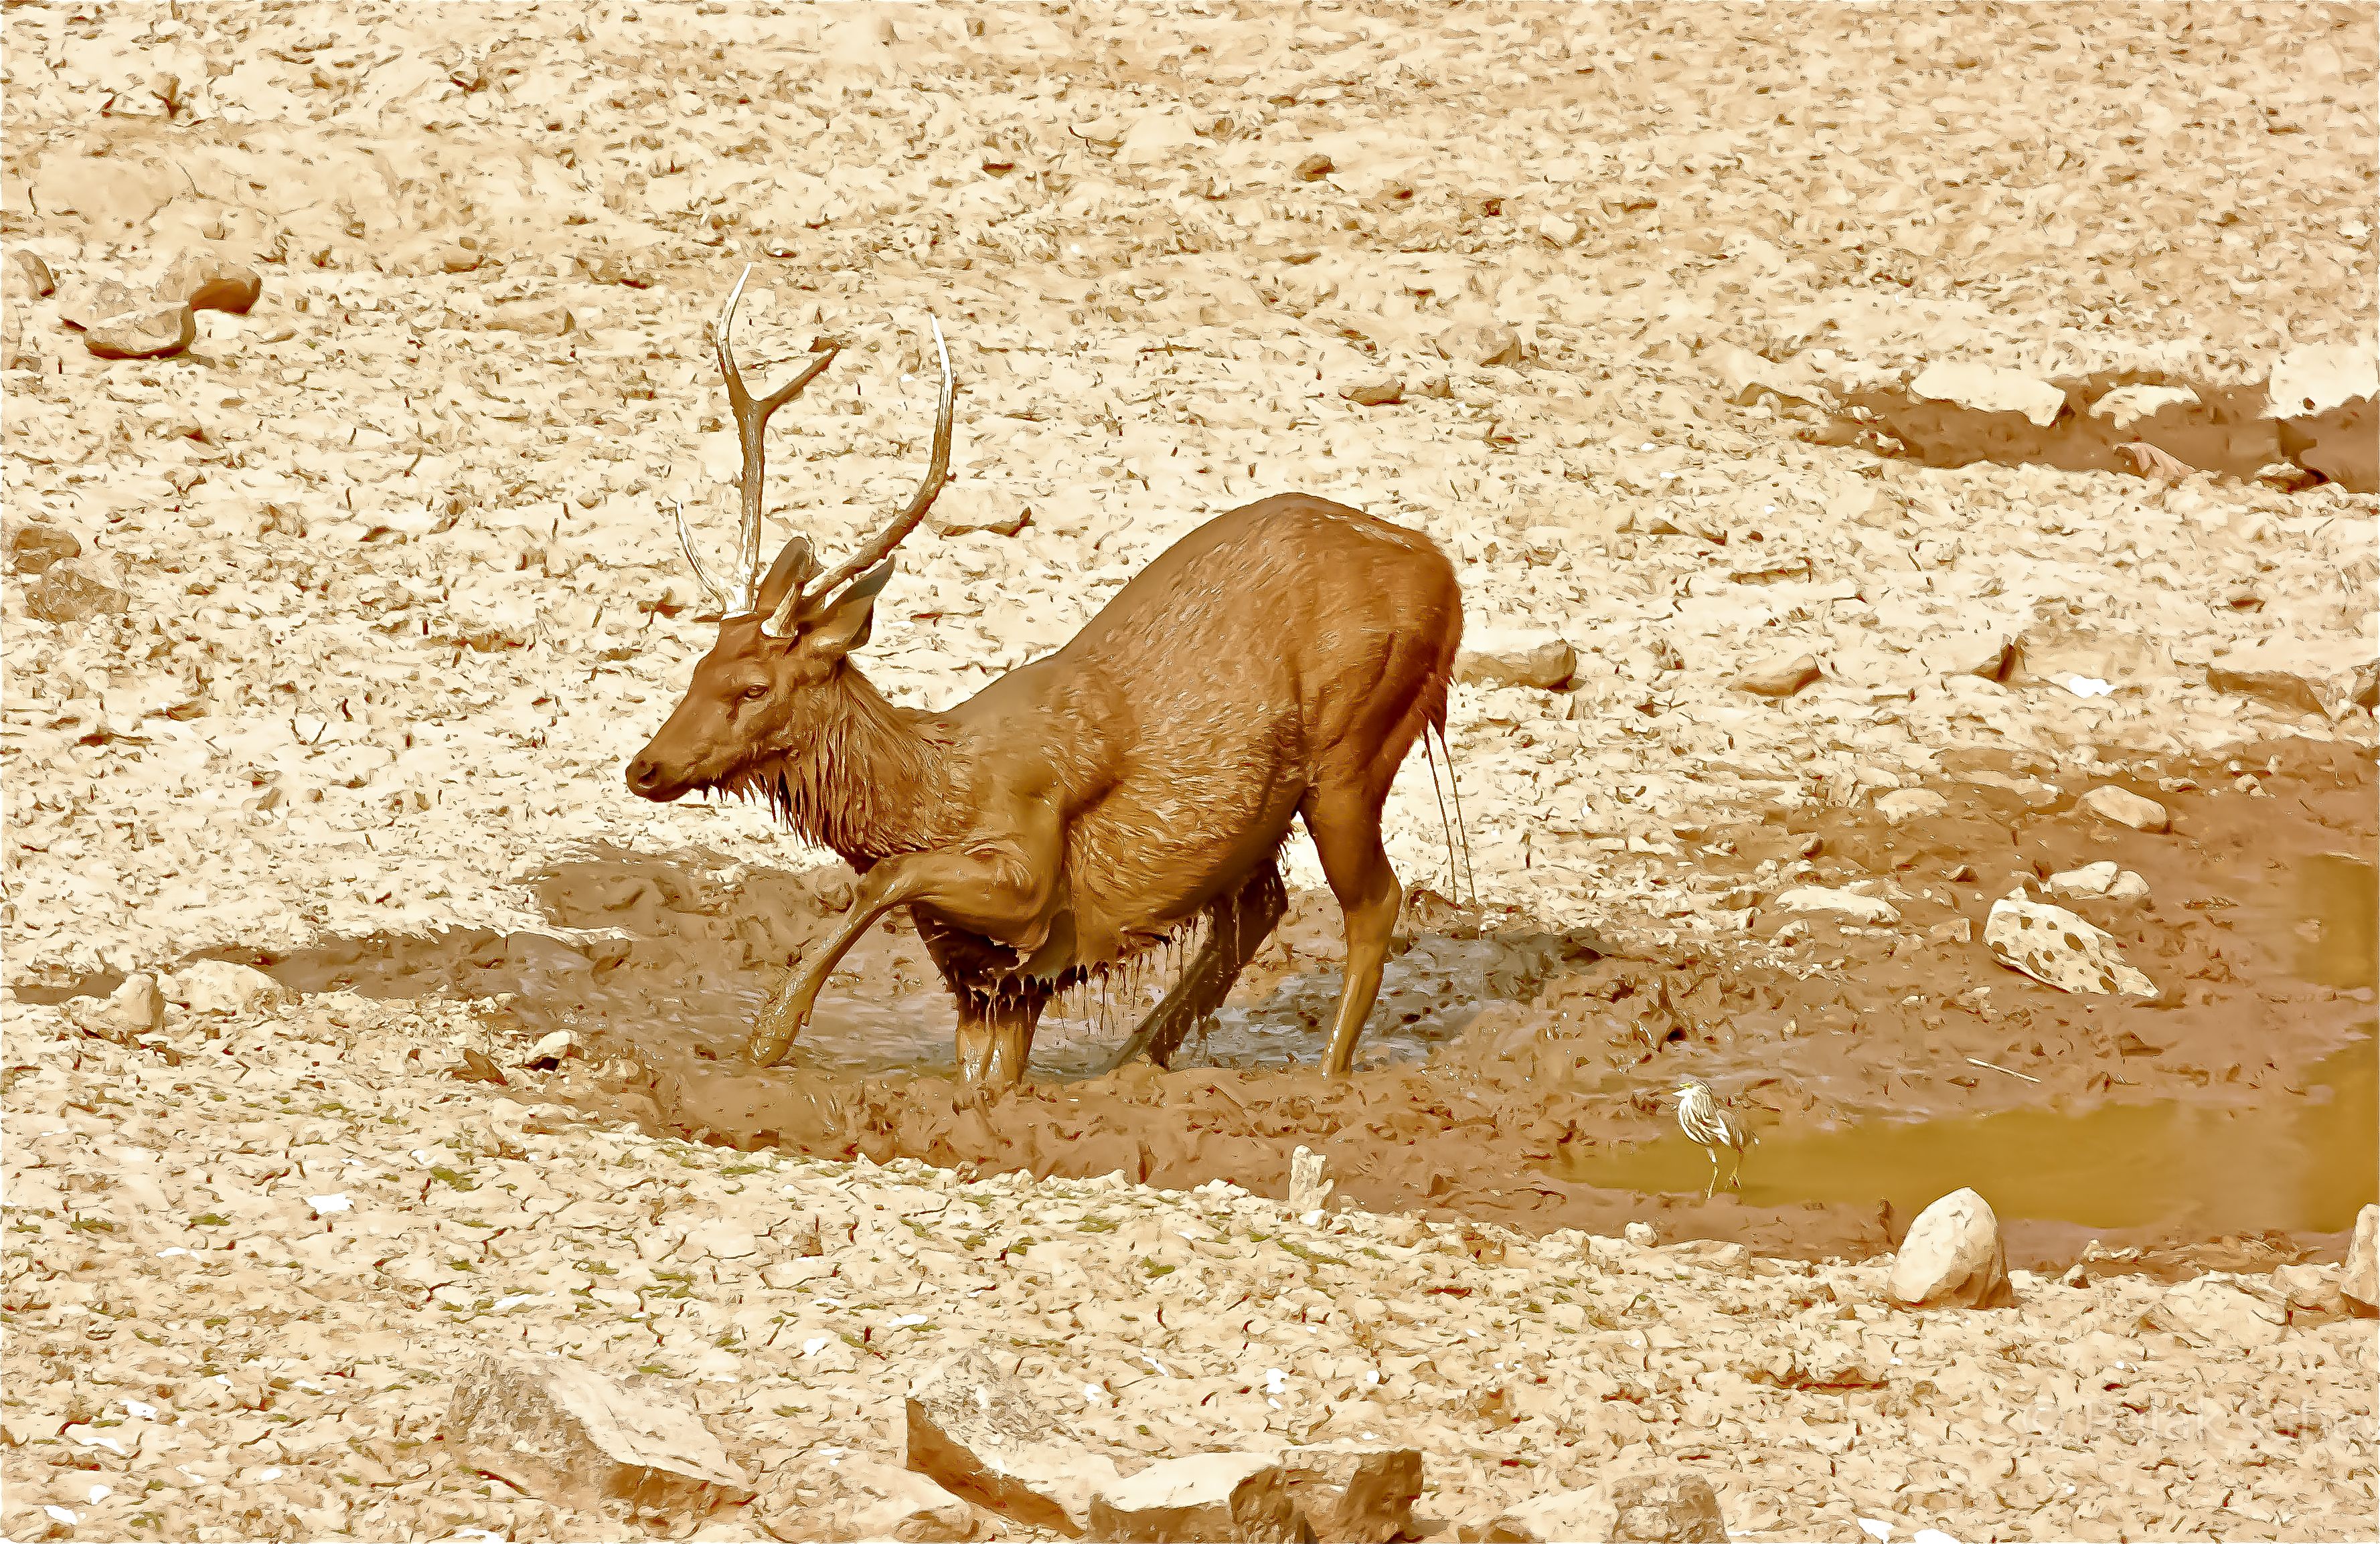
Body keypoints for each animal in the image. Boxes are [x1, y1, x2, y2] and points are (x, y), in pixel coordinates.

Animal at [625, 266, 1465, 1088]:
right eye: (698, 666)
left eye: (754, 688)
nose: (644, 767)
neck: (938, 792)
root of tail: (1443, 570)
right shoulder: (986, 977)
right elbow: (979, 1070)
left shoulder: (1030, 880)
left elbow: (886, 878)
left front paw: (769, 1035)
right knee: (1258, 908)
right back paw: (1129, 1066)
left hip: (1357, 744)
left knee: (1375, 901)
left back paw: (1324, 1078)